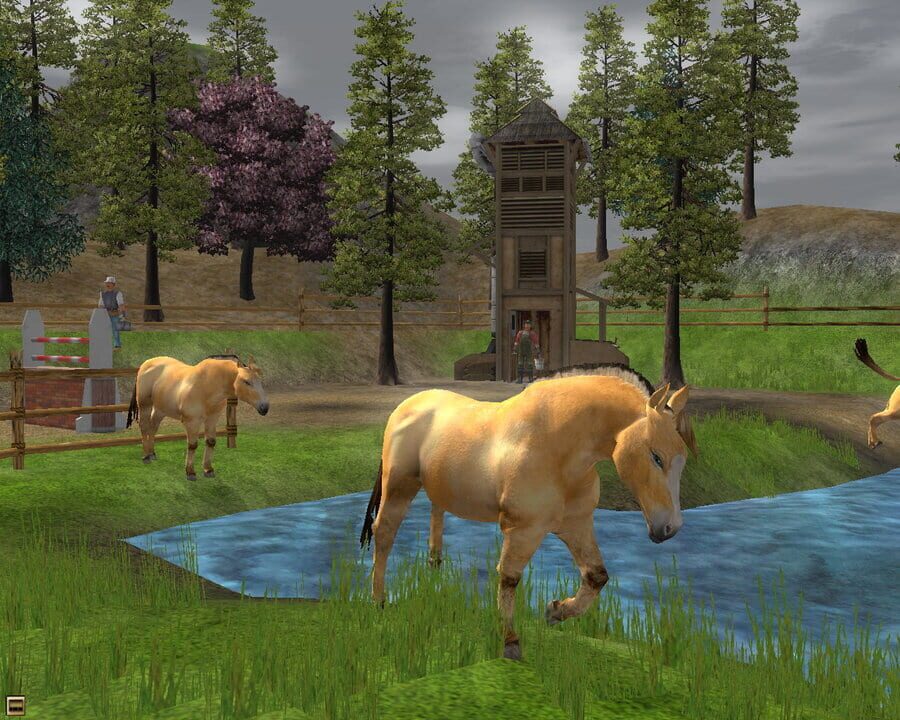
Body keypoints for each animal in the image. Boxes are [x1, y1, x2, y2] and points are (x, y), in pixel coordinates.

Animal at [126, 354, 269, 480]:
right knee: (145, 427)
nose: (265, 407)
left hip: (160, 409)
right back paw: (146, 457)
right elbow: (192, 445)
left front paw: (208, 469)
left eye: (261, 381)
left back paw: (152, 454)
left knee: (153, 427)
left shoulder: (212, 419)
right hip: (145, 405)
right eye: (246, 381)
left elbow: (211, 442)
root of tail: (146, 363)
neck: (208, 386)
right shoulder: (192, 422)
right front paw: (190, 472)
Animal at [359, 363, 698, 661]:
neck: (557, 446)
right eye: (656, 457)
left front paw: (556, 611)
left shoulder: (576, 524)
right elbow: (509, 577)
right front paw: (510, 644)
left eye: (681, 458)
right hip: (399, 486)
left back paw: (433, 574)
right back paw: (378, 602)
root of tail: (405, 406)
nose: (670, 528)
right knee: (384, 532)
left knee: (435, 519)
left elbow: (596, 576)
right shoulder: (523, 530)